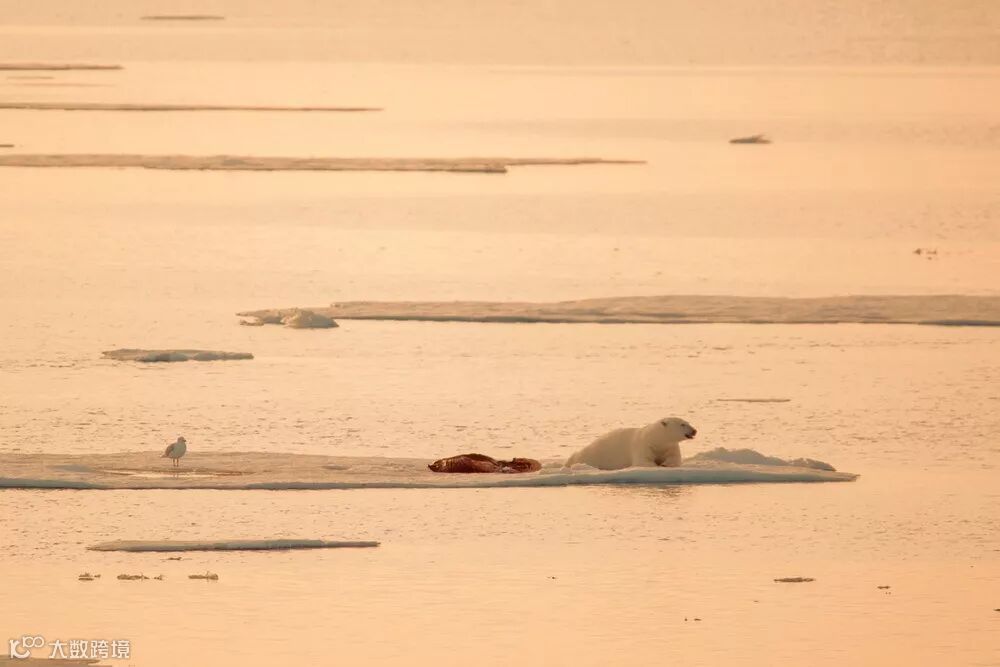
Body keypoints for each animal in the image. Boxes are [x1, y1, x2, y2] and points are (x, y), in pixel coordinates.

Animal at [564, 417, 697, 470]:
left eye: (687, 422)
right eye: (682, 424)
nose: (694, 430)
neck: (655, 438)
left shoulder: (670, 446)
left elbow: (674, 458)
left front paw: (665, 464)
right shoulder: (642, 444)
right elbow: (643, 461)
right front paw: (657, 465)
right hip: (592, 455)